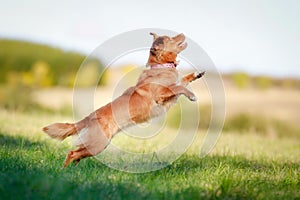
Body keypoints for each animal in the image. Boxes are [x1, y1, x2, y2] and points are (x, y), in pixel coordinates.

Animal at [43, 32, 205, 167]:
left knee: (77, 154)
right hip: (98, 144)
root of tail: (89, 117)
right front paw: (192, 95)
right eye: (170, 38)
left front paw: (196, 74)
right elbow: (179, 88)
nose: (182, 33)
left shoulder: (172, 90)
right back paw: (63, 171)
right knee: (72, 153)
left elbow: (182, 81)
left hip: (97, 144)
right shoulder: (161, 94)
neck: (161, 66)